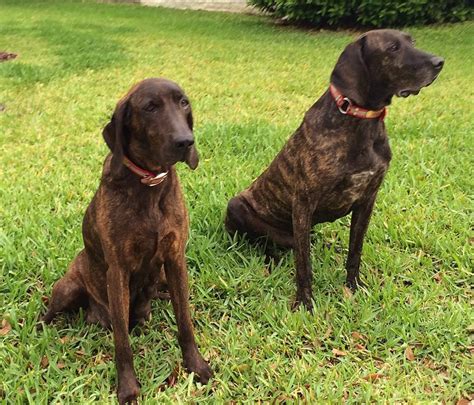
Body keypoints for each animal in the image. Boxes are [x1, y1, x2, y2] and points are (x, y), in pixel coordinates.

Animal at [39, 78, 213, 400]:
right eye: (150, 107)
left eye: (183, 103)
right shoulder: (118, 272)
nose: (186, 142)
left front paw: (196, 366)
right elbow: (122, 342)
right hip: (67, 289)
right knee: (49, 311)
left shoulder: (174, 260)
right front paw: (128, 387)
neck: (149, 184)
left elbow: (185, 322)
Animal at [226, 30, 444, 310]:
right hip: (237, 207)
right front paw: (304, 303)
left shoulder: (367, 201)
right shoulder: (303, 203)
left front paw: (354, 286)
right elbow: (304, 265)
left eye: (412, 42)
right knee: (268, 244)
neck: (359, 120)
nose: (439, 62)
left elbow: (355, 251)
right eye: (393, 48)